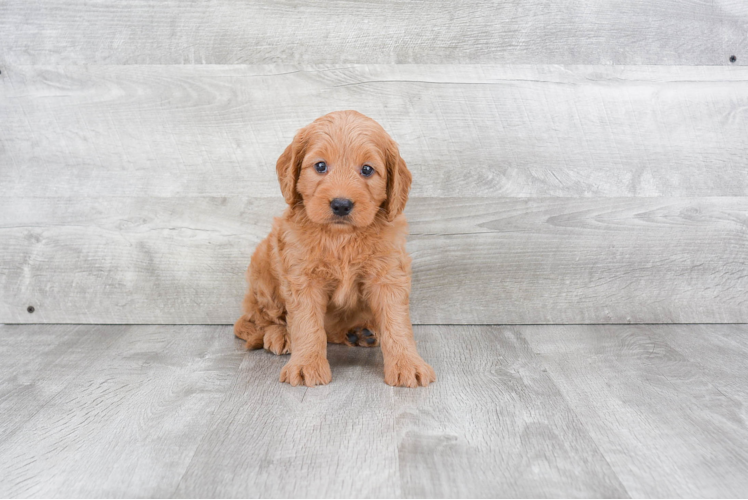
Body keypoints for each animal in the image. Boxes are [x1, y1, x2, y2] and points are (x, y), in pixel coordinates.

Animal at [232, 111, 432, 388]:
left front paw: (407, 364)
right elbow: (306, 323)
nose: (341, 204)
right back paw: (281, 335)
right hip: (263, 268)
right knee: (261, 318)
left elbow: (397, 322)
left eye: (367, 169)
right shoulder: (303, 278)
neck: (341, 238)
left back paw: (359, 332)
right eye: (320, 166)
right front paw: (306, 365)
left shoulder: (389, 274)